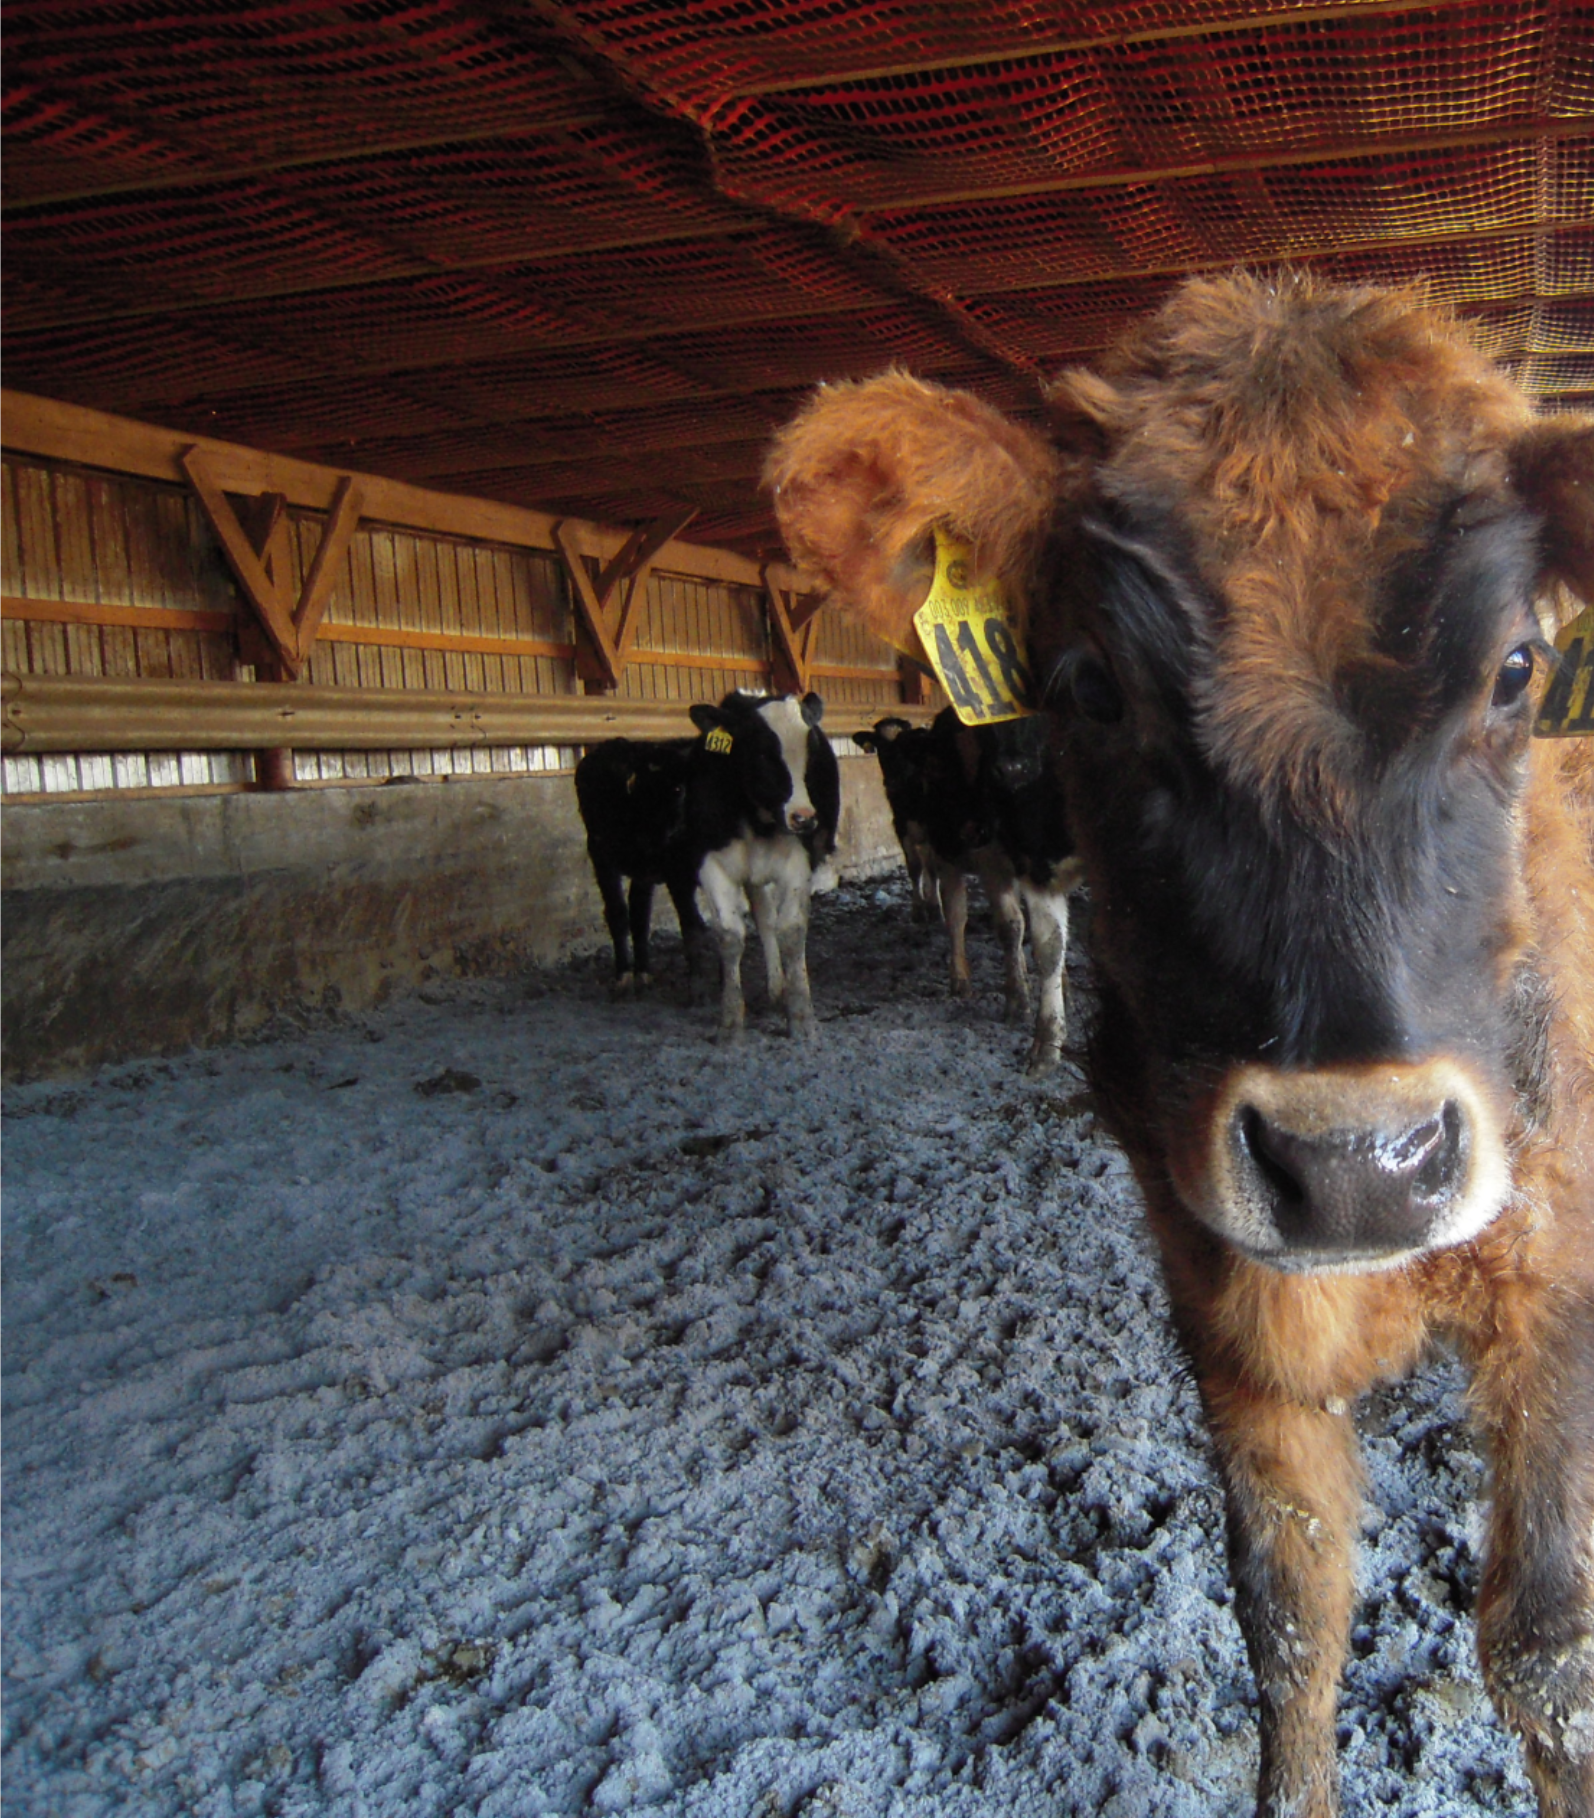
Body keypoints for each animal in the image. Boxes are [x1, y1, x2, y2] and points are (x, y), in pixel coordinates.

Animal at [573, 736, 709, 993]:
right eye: (678, 789)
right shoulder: (676, 872)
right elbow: (691, 926)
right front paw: (697, 984)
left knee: (639, 912)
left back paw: (643, 972)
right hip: (604, 854)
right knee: (619, 912)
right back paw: (626, 974)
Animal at [686, 690, 840, 1043]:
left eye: (812, 751)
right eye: (761, 752)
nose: (804, 818)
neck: (756, 817)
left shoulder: (799, 862)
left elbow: (791, 931)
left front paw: (801, 1017)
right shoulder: (710, 863)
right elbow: (730, 935)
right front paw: (730, 1024)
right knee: (764, 917)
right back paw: (774, 988)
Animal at [766, 272, 1594, 1816]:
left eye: (1517, 667)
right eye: (1089, 687)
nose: (1356, 1166)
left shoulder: (1562, 1260)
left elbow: (1547, 1652)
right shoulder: (1217, 1282)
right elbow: (1288, 1612)